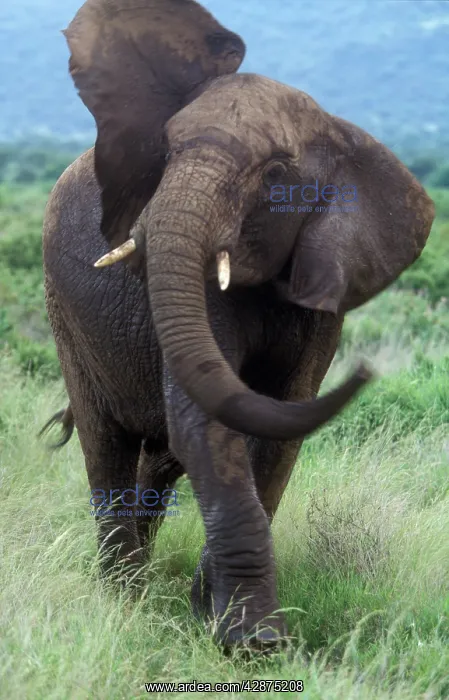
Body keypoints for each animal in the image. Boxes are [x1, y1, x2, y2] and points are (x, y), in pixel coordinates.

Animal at [41, 0, 435, 648]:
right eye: (165, 154)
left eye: (275, 173)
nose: (366, 371)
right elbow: (209, 421)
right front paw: (252, 642)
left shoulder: (322, 286)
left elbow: (276, 426)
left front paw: (220, 623)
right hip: (64, 316)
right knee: (107, 446)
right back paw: (123, 600)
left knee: (159, 461)